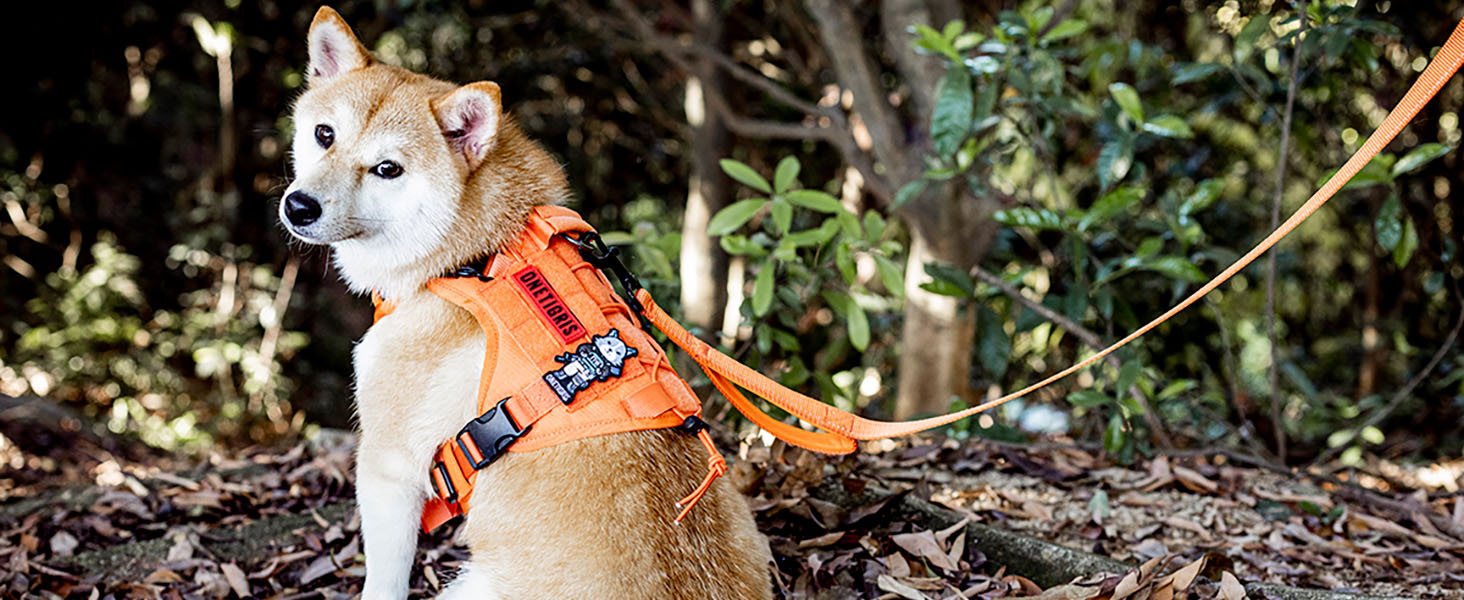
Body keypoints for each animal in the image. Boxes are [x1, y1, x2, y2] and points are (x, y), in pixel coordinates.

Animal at [278, 7, 772, 597]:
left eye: (388, 169)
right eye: (324, 134)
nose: (299, 206)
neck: (474, 257)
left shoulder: (388, 470)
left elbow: (383, 583)